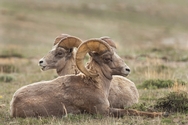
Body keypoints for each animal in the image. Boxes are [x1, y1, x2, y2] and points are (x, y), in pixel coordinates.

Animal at [10, 38, 164, 117]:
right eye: (107, 58)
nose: (127, 69)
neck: (95, 85)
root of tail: (13, 103)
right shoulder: (104, 111)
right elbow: (132, 111)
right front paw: (162, 114)